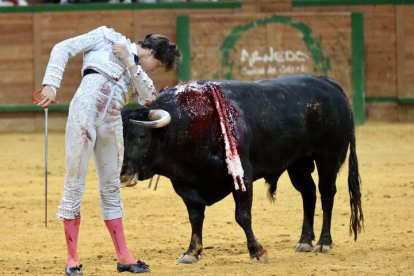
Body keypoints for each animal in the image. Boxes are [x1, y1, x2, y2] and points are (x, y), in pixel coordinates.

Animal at [119, 74, 362, 264]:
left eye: (141, 137)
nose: (122, 174)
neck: (190, 124)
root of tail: (329, 83)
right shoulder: (187, 185)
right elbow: (195, 218)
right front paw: (192, 252)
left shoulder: (242, 176)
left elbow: (242, 216)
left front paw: (258, 251)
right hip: (298, 164)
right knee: (308, 194)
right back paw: (304, 241)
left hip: (328, 157)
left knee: (326, 194)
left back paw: (323, 242)